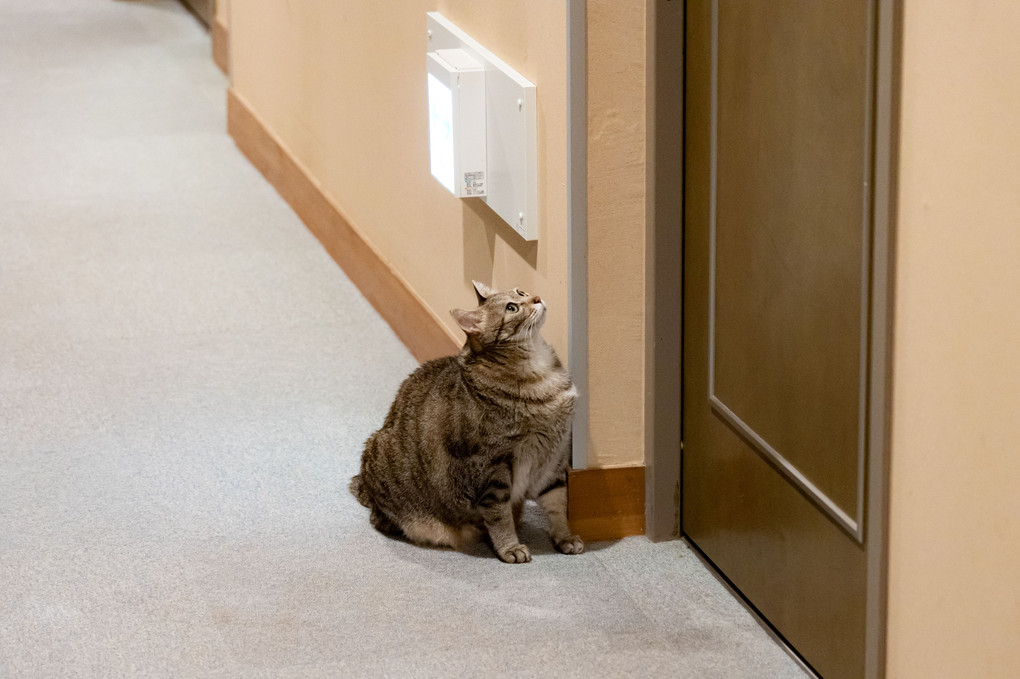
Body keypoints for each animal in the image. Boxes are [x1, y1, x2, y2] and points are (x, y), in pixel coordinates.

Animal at [348, 279, 583, 558]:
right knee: (384, 521)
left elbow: (558, 504)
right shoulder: (491, 469)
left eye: (521, 292)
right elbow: (499, 515)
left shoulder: (554, 459)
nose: (535, 297)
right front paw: (509, 547)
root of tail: (365, 488)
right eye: (512, 308)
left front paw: (565, 537)